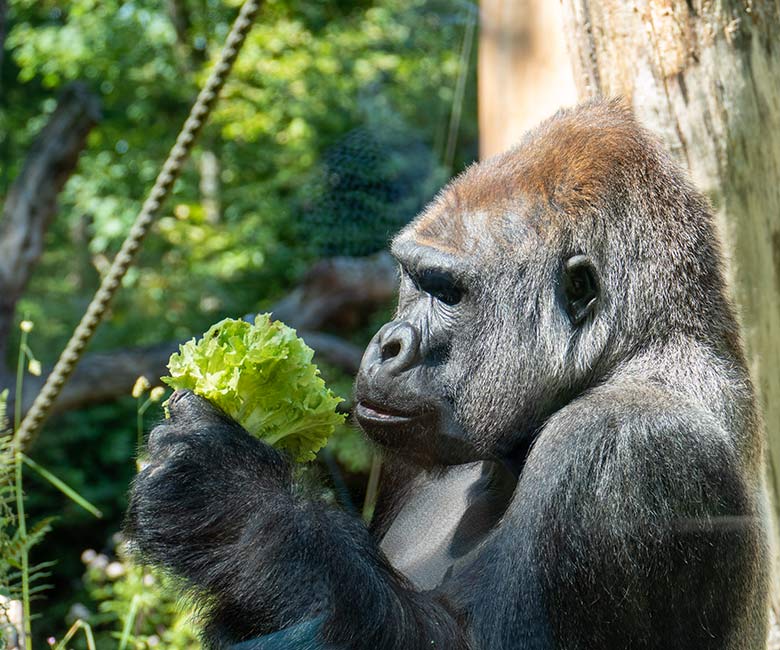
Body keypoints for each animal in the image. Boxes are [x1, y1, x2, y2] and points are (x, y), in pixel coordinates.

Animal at [125, 101, 772, 648]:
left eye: (448, 291)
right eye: (413, 278)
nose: (387, 345)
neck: (637, 349)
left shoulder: (623, 444)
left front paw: (234, 500)